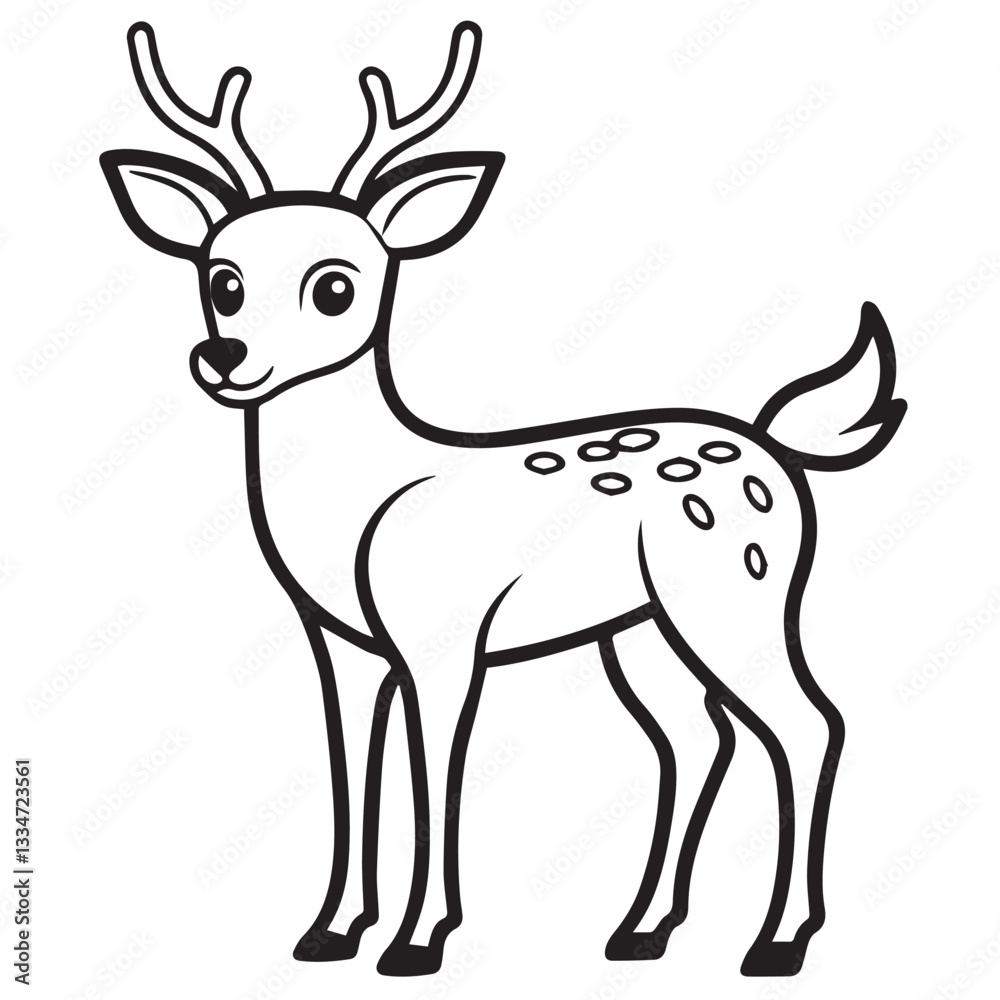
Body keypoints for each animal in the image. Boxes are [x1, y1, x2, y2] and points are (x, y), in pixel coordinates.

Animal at [100, 20, 906, 978]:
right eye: (220, 278)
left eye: (336, 284)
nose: (224, 359)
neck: (358, 502)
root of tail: (777, 448)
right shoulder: (341, 644)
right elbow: (350, 772)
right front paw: (330, 931)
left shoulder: (444, 638)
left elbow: (435, 772)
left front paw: (418, 940)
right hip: (639, 628)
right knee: (698, 736)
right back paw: (642, 930)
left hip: (734, 593)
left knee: (810, 723)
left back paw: (777, 941)